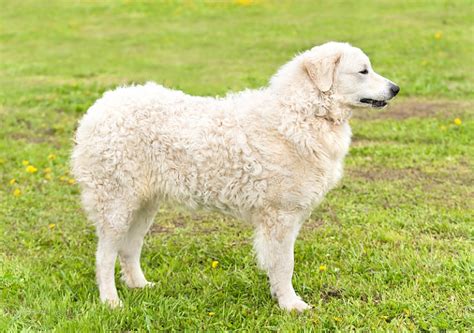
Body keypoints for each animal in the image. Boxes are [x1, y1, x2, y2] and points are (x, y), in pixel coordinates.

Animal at [71, 42, 396, 312]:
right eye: (363, 71)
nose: (396, 88)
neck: (303, 113)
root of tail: (100, 107)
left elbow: (279, 264)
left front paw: (280, 298)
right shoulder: (280, 215)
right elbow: (285, 264)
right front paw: (291, 305)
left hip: (143, 205)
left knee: (128, 249)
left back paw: (140, 286)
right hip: (116, 203)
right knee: (104, 256)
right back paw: (111, 301)